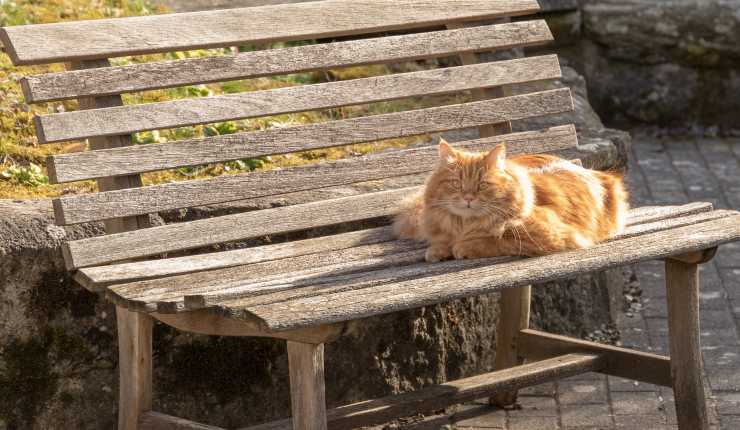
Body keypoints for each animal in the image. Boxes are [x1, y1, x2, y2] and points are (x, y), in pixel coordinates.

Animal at [396, 140, 628, 262]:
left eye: (482, 185)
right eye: (457, 183)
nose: (468, 197)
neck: (465, 225)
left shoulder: (548, 235)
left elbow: (494, 241)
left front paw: (462, 247)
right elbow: (440, 242)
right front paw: (439, 249)